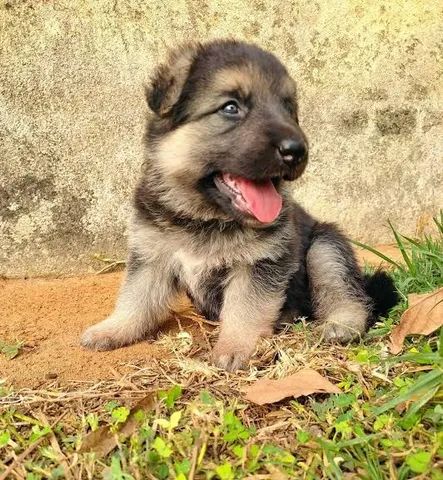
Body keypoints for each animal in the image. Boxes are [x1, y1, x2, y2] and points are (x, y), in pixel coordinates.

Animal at [80, 41, 398, 372]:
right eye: (231, 108)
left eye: (289, 109)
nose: (297, 151)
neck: (203, 218)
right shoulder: (151, 255)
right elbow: (136, 298)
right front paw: (113, 329)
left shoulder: (260, 263)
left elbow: (245, 308)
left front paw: (234, 348)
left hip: (325, 245)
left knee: (345, 292)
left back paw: (341, 325)